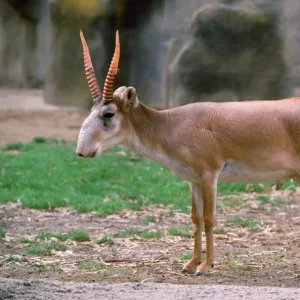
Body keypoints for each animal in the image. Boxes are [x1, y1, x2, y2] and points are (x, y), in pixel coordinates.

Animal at [77, 31, 300, 276]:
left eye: (108, 113)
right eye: (92, 110)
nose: (82, 151)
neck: (171, 125)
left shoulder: (209, 174)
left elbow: (209, 218)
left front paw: (206, 265)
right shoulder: (193, 180)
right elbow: (196, 218)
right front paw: (191, 263)